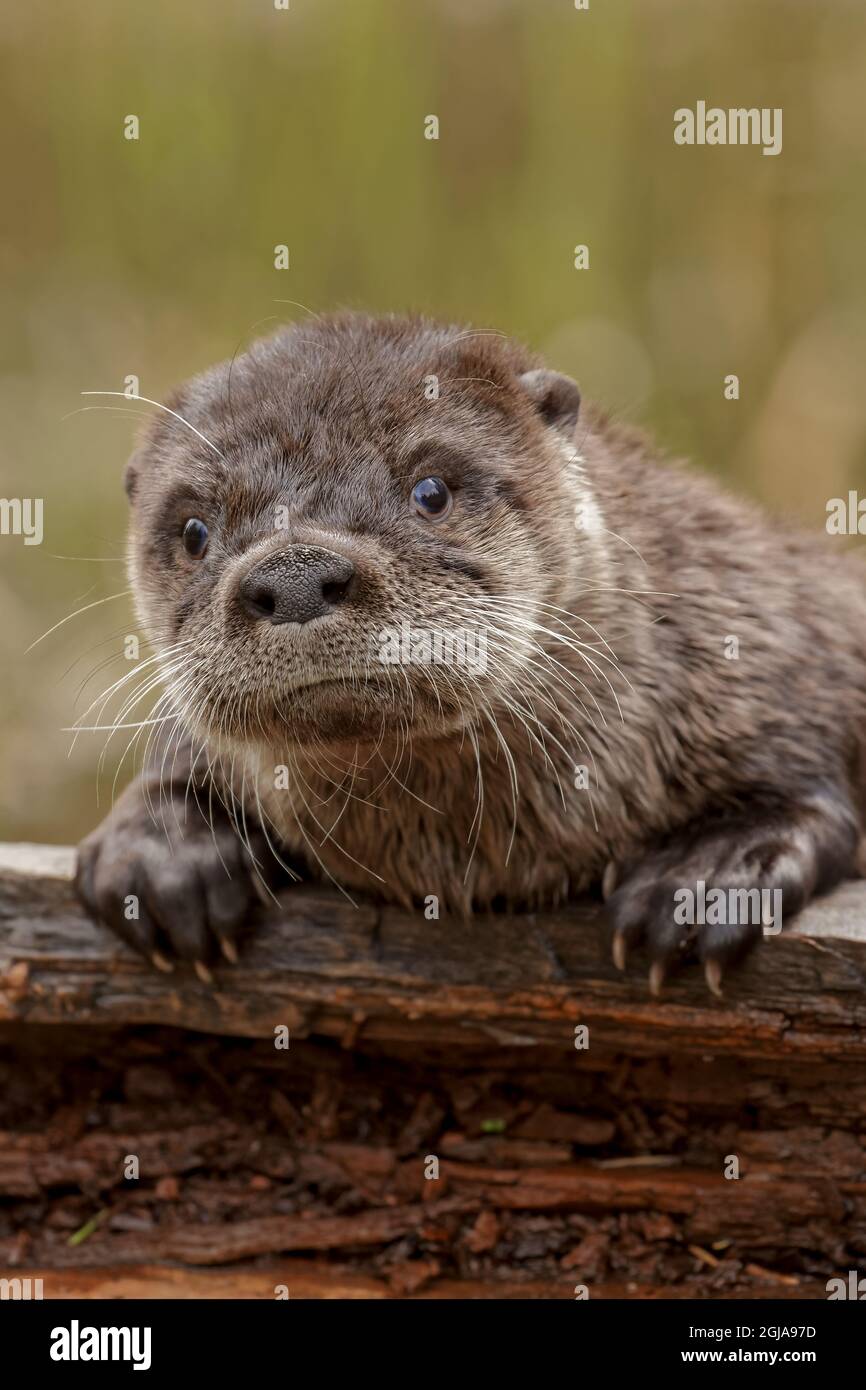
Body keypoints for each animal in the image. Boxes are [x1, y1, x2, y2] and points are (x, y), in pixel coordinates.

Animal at [75, 312, 866, 993]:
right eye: (195, 531)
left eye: (431, 490)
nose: (294, 575)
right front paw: (162, 859)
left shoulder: (765, 631)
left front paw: (709, 872)